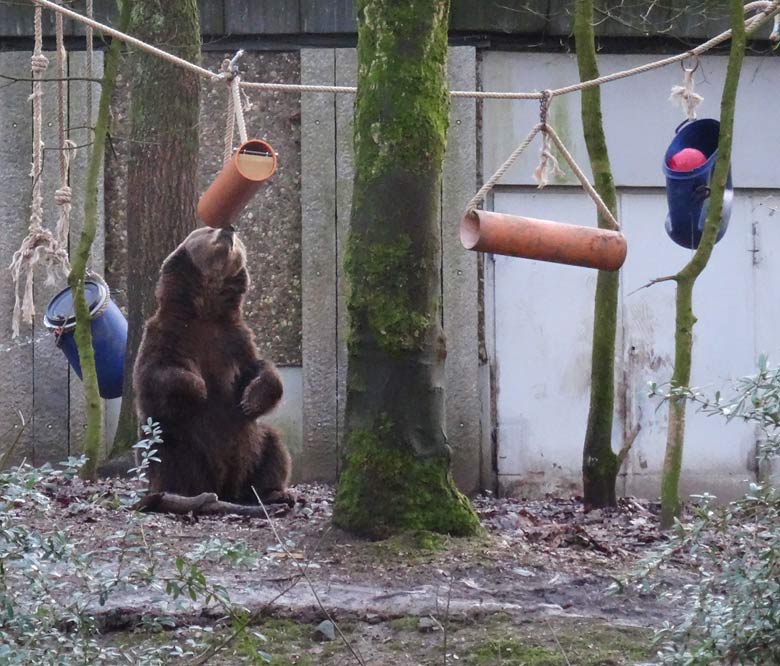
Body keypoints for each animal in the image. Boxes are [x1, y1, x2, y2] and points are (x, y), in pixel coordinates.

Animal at [134, 226, 292, 500]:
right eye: (208, 229)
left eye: (239, 240)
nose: (229, 229)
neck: (206, 310)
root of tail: (223, 488)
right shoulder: (169, 335)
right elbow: (155, 375)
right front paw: (199, 389)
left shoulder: (235, 340)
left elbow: (260, 370)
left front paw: (250, 399)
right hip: (176, 441)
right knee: (165, 457)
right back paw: (173, 494)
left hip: (254, 447)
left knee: (273, 448)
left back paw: (272, 493)